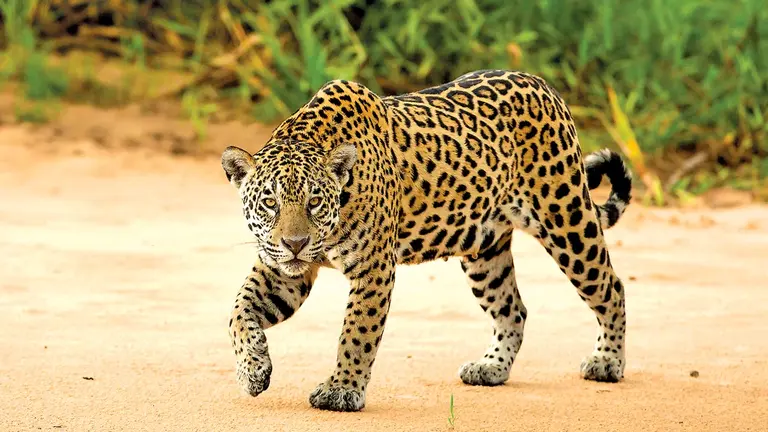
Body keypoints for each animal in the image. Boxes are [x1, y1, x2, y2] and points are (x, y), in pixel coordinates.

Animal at [221, 69, 633, 412]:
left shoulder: (374, 269)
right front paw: (252, 370)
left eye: (315, 202)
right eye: (270, 203)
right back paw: (491, 368)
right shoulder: (282, 271)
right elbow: (239, 311)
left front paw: (341, 389)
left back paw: (607, 362)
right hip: (485, 254)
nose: (296, 243)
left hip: (567, 220)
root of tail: (544, 85)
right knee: (512, 309)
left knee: (610, 287)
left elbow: (356, 332)